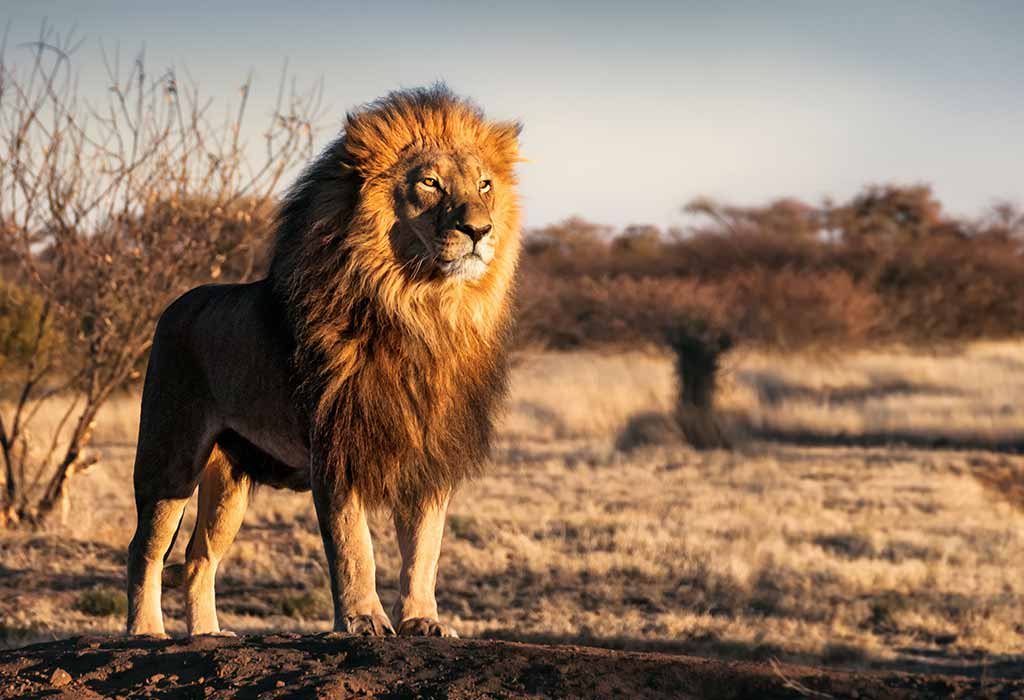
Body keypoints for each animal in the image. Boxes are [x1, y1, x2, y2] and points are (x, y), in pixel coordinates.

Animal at [128, 84, 524, 638]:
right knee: (145, 548)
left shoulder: (429, 452)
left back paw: (207, 634)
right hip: (170, 457)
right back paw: (145, 631)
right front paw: (362, 620)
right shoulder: (336, 446)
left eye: (485, 185)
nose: (479, 230)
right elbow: (354, 546)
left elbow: (424, 549)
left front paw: (422, 620)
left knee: (198, 557)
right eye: (429, 183)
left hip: (229, 481)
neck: (421, 311)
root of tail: (175, 304)